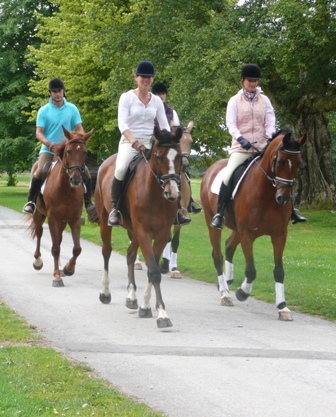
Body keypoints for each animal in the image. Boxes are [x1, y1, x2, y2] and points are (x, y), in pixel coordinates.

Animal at [27, 127, 93, 286]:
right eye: (68, 151)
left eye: (85, 152)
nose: (76, 179)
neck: (65, 189)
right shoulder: (52, 218)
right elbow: (55, 248)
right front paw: (56, 277)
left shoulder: (74, 219)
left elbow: (77, 249)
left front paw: (68, 269)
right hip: (39, 214)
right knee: (39, 233)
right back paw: (37, 261)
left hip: (63, 221)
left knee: (60, 238)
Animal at [94, 125, 184, 326]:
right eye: (158, 156)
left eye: (180, 157)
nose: (173, 193)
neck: (155, 194)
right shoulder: (144, 232)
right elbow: (154, 271)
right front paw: (162, 315)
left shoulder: (161, 234)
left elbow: (153, 269)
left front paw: (146, 307)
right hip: (106, 222)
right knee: (106, 252)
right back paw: (105, 293)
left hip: (133, 231)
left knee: (129, 255)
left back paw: (132, 297)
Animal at [200, 128, 308, 320]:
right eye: (280, 161)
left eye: (298, 163)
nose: (284, 199)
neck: (267, 193)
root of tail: (212, 168)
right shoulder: (247, 234)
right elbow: (251, 270)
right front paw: (242, 292)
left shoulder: (279, 235)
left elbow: (279, 271)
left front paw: (282, 306)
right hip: (212, 221)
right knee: (218, 255)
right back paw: (225, 293)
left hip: (236, 228)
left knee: (229, 246)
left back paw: (227, 281)